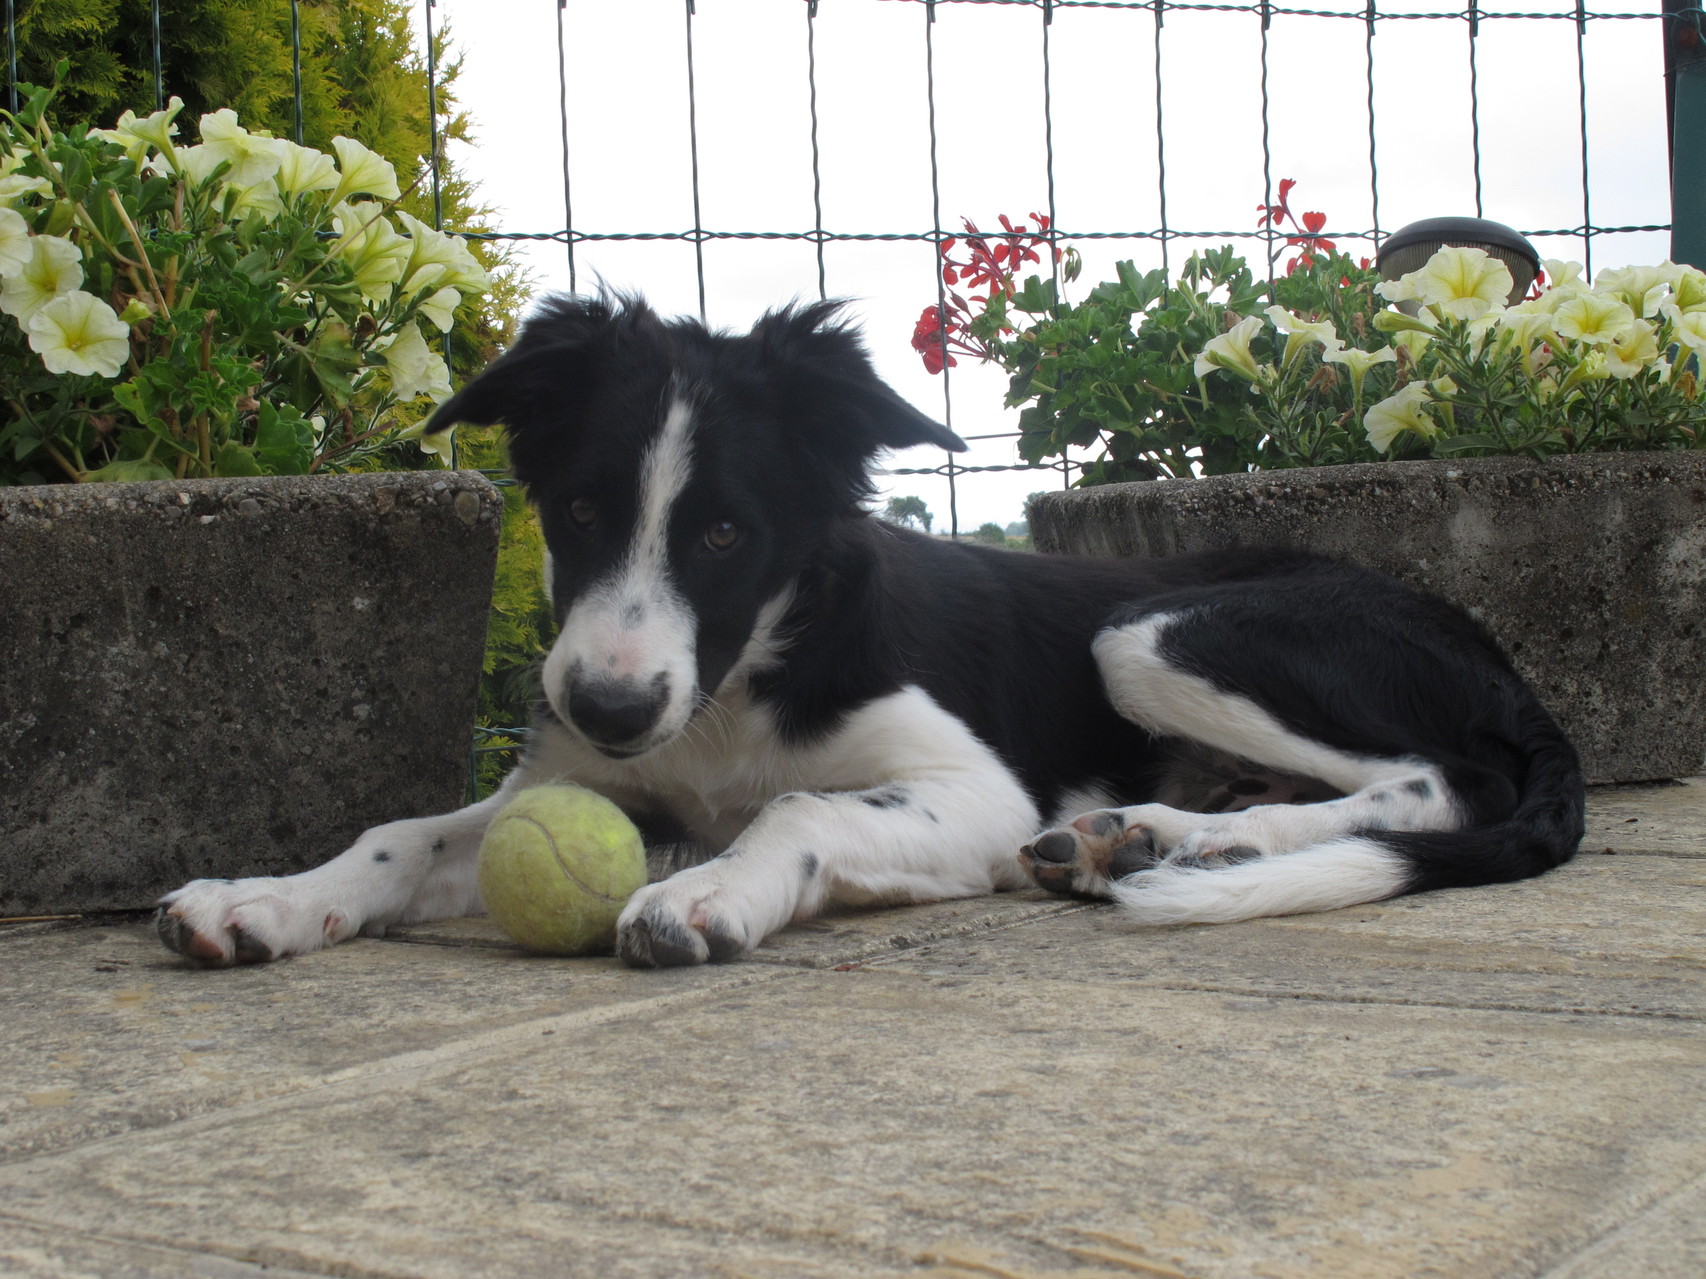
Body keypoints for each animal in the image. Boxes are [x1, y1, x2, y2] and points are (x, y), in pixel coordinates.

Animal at [153, 293, 1589, 968]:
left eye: (726, 535)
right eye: (578, 508)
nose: (608, 709)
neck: (737, 684)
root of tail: (1495, 658)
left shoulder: (974, 787)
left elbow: (801, 806)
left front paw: (709, 888)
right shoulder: (571, 779)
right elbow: (398, 833)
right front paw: (263, 899)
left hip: (1150, 630)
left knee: (1435, 783)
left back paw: (1190, 840)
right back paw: (1145, 834)